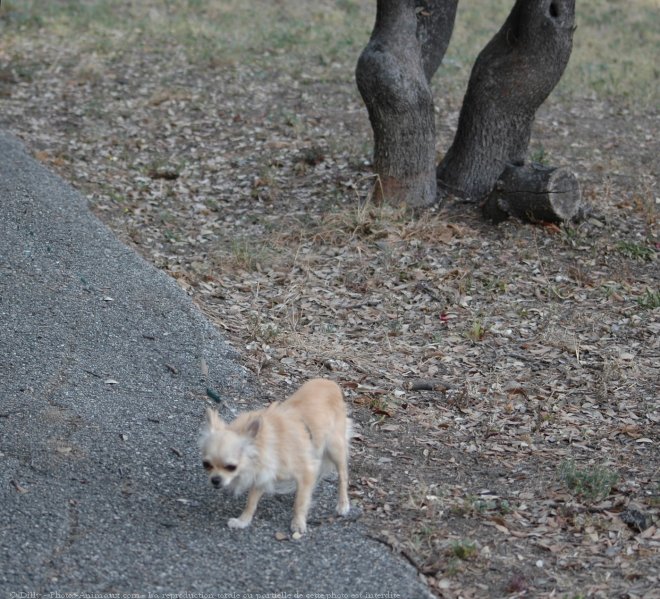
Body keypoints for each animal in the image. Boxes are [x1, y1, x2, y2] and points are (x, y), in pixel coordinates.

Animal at [200, 380, 350, 536]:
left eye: (231, 467)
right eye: (206, 464)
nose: (215, 480)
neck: (268, 443)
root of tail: (330, 382)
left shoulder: (305, 471)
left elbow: (300, 503)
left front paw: (298, 523)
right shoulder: (263, 474)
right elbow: (251, 502)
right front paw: (243, 521)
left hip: (335, 448)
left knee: (343, 476)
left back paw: (343, 504)